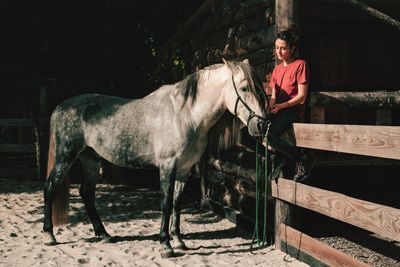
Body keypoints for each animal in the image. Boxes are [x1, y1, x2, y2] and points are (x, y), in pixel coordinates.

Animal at [43, 57, 268, 258]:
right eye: (245, 88)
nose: (262, 125)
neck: (185, 114)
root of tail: (60, 107)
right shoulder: (168, 166)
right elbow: (166, 203)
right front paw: (166, 245)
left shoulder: (184, 169)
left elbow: (177, 203)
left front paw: (179, 240)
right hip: (66, 157)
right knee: (50, 187)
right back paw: (50, 236)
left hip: (91, 159)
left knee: (86, 193)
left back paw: (103, 234)